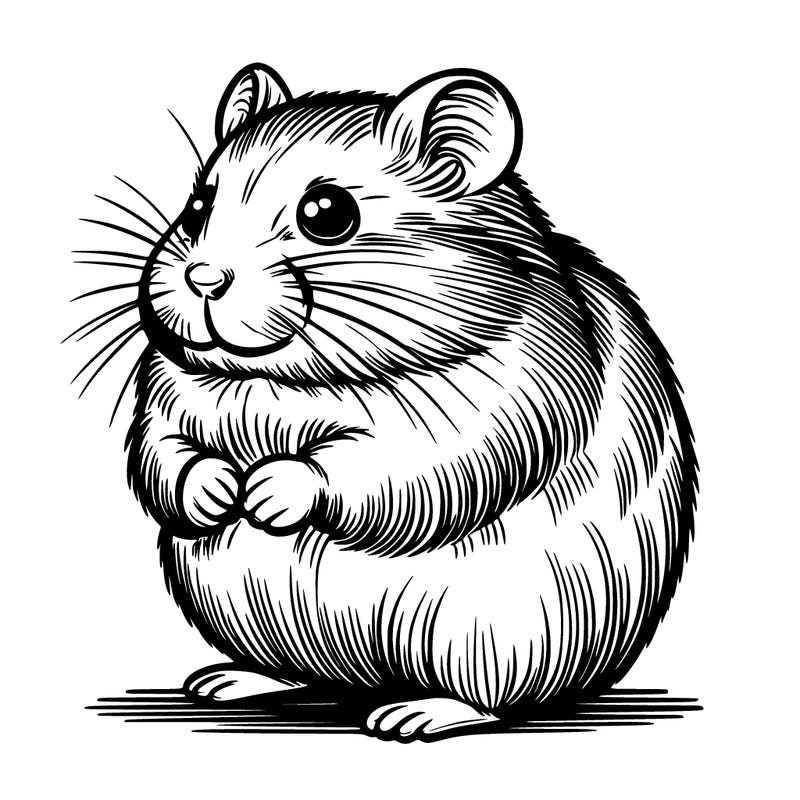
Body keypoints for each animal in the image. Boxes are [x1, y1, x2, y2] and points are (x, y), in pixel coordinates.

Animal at [124, 64, 697, 741]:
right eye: (198, 205)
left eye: (327, 213)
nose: (203, 279)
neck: (280, 383)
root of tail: (366, 680)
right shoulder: (162, 395)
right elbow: (165, 461)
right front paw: (219, 493)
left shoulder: (478, 423)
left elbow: (367, 470)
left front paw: (264, 493)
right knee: (302, 673)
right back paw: (225, 681)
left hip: (493, 635)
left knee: (496, 700)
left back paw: (413, 716)